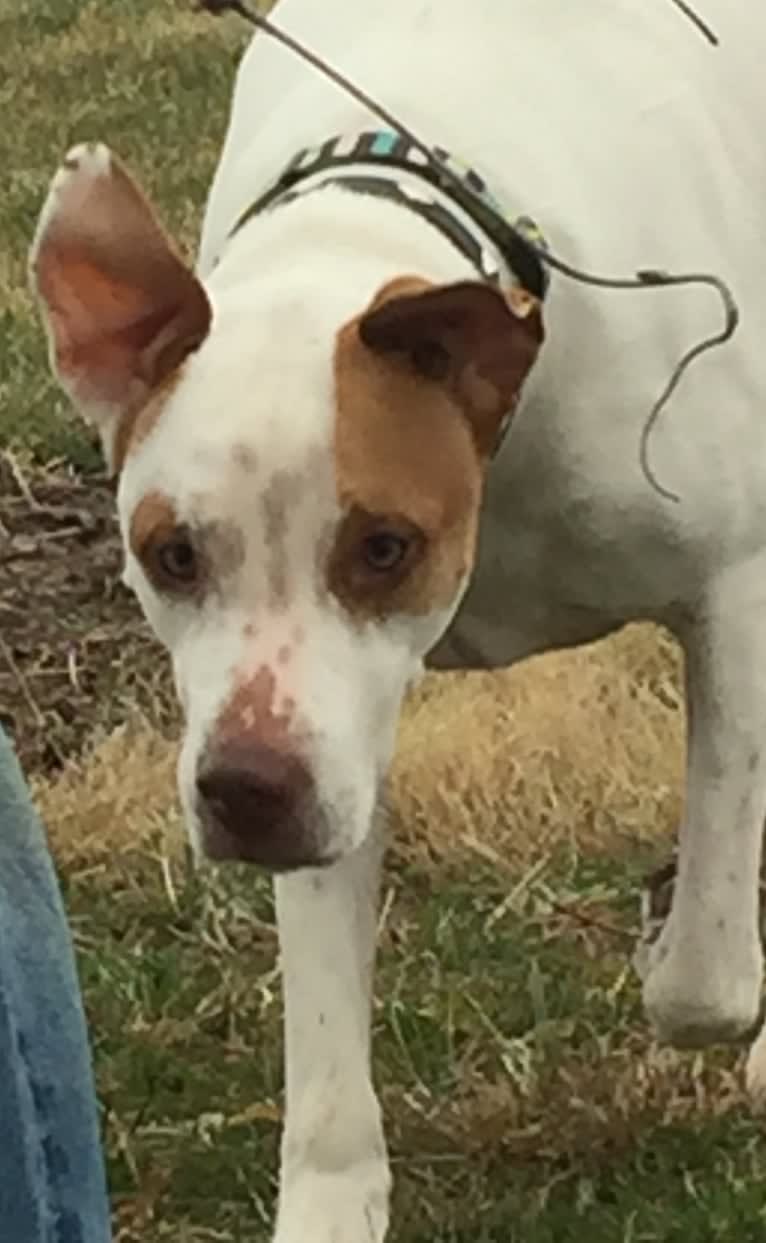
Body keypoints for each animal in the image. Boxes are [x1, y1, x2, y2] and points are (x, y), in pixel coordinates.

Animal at [28, 0, 766, 1238]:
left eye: (385, 546)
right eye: (171, 553)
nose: (245, 791)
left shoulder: (735, 595)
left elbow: (706, 974)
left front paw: (689, 954)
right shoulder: (320, 725)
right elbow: (326, 1046)